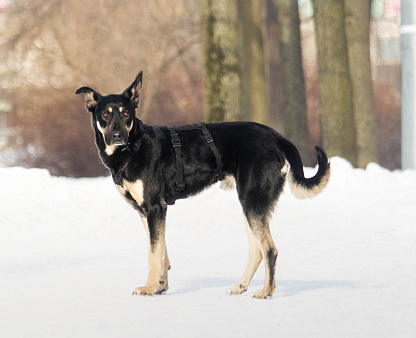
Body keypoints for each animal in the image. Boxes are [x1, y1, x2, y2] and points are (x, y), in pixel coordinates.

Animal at [74, 71, 328, 298]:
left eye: (126, 113)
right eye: (105, 115)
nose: (117, 136)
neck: (133, 148)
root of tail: (277, 137)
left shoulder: (155, 208)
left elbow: (153, 254)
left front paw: (148, 288)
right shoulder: (147, 212)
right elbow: (161, 252)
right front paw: (160, 286)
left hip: (252, 202)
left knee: (270, 250)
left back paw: (266, 291)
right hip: (249, 205)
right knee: (257, 250)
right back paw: (240, 287)